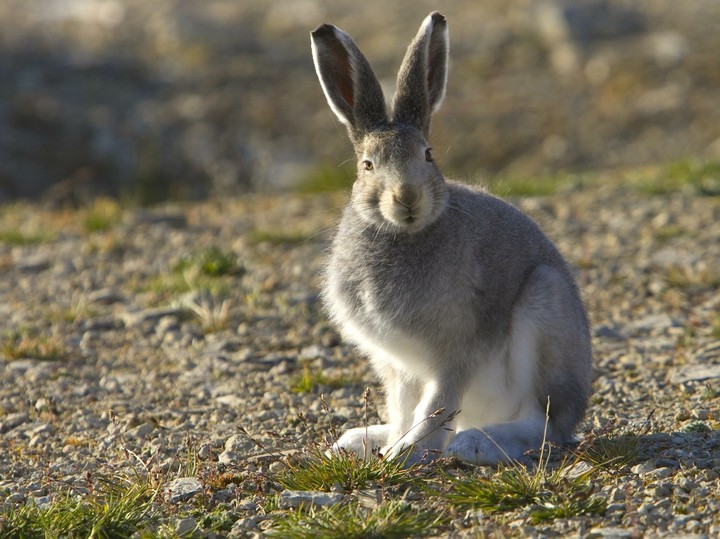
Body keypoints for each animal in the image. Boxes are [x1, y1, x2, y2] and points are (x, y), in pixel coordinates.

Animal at [310, 12, 592, 465]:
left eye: (428, 155)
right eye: (368, 165)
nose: (407, 196)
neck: (404, 234)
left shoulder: (457, 353)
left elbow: (437, 406)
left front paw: (406, 454)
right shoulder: (397, 366)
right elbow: (405, 407)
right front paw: (394, 446)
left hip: (544, 309)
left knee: (541, 424)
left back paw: (475, 443)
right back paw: (359, 440)